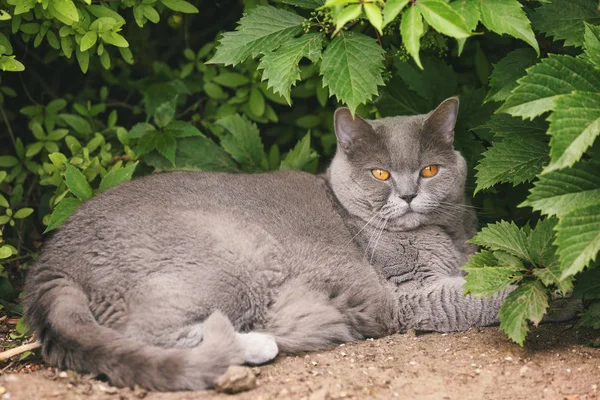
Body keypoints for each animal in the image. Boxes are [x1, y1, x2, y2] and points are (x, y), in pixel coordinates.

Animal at [24, 97, 506, 390]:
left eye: (429, 170)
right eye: (380, 173)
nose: (407, 195)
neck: (443, 234)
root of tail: (53, 260)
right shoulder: (401, 293)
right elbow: (466, 298)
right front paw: (526, 291)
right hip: (235, 257)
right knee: (144, 333)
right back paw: (254, 345)